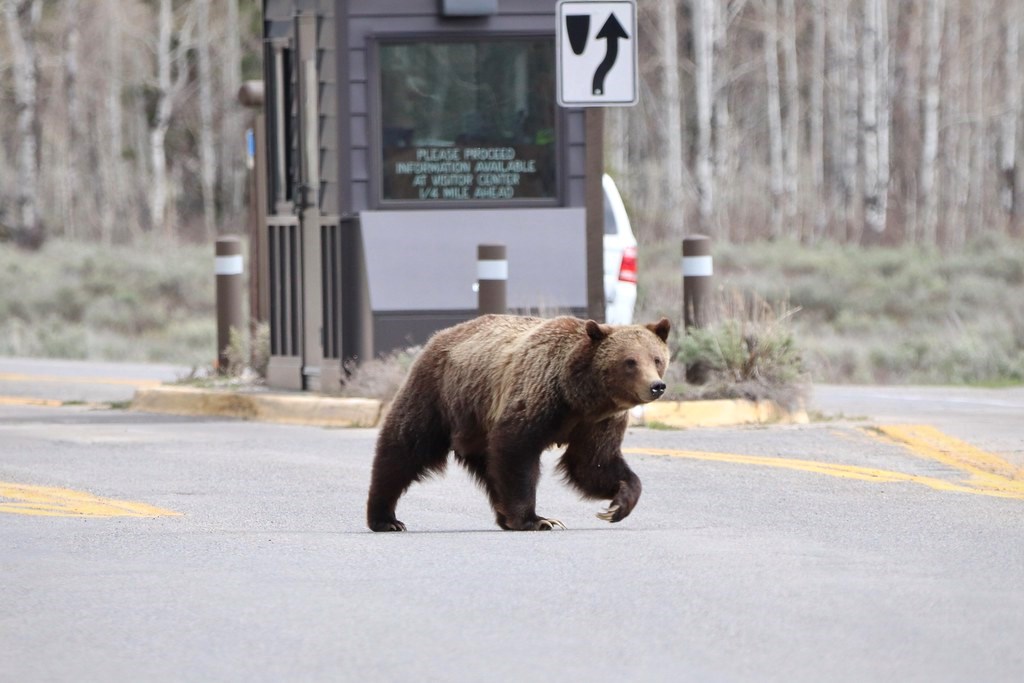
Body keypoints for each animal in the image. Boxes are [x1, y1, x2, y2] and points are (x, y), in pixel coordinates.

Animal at [366, 315, 671, 532]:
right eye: (630, 361)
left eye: (656, 358)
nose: (656, 386)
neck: (579, 396)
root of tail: (440, 335)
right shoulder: (538, 397)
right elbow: (517, 451)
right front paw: (538, 520)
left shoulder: (597, 422)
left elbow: (593, 463)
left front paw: (617, 505)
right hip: (440, 394)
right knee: (405, 447)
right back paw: (385, 518)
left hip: (477, 426)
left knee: (490, 469)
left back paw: (503, 517)